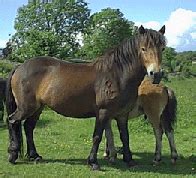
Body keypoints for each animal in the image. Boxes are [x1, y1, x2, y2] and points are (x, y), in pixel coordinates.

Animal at [6, 25, 165, 170]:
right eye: (143, 48)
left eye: (162, 48)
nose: (156, 74)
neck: (116, 75)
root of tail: (20, 66)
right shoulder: (103, 113)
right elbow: (97, 137)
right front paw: (93, 162)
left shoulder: (122, 115)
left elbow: (125, 136)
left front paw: (129, 160)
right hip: (26, 107)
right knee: (13, 121)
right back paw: (13, 155)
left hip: (38, 108)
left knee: (28, 127)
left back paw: (34, 156)